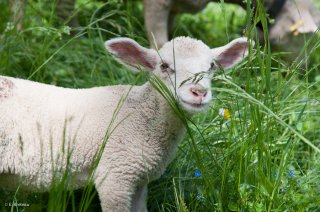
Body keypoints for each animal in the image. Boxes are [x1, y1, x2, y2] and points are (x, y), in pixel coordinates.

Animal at [0, 36, 252, 210]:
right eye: (164, 66)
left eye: (211, 66)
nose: (198, 92)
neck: (142, 115)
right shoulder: (115, 175)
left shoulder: (138, 179)